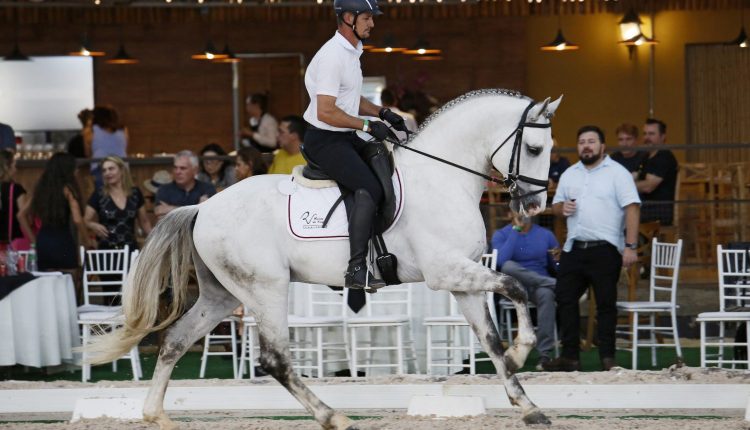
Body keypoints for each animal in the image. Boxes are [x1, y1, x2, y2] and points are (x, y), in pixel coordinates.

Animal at [89, 89, 560, 428]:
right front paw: (523, 352)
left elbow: (491, 338)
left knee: (175, 340)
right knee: (275, 359)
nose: (535, 206)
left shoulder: (462, 280)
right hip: (267, 289)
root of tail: (203, 208)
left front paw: (527, 403)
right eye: (536, 148)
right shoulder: (446, 273)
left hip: (222, 294)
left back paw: (156, 414)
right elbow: (516, 287)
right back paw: (332, 416)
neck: (443, 177)